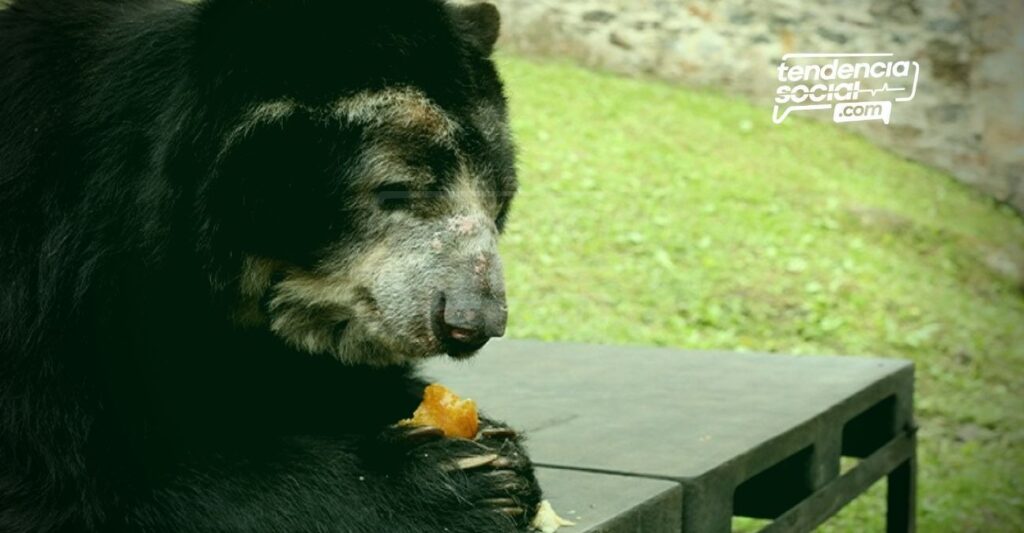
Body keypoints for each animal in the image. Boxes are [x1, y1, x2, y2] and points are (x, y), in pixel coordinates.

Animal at [0, 1, 544, 527]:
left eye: (500, 202)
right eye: (397, 190)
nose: (473, 322)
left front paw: (502, 453)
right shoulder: (44, 297)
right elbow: (82, 477)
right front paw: (453, 482)